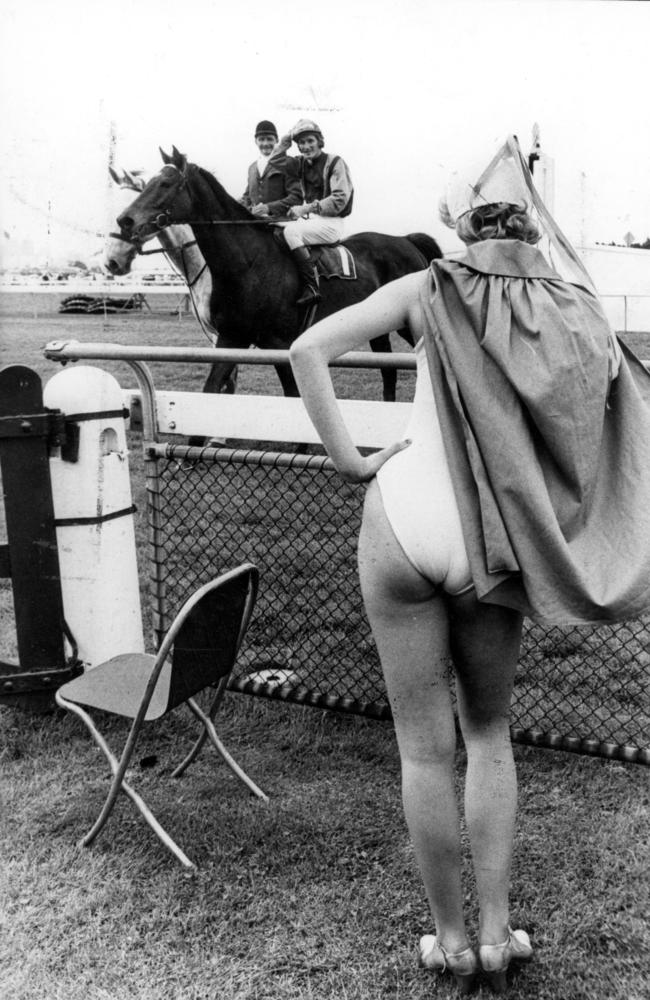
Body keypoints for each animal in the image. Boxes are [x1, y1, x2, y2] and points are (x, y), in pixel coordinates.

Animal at [111, 146, 442, 400]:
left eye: (165, 184)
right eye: (150, 183)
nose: (124, 221)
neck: (248, 263)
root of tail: (406, 240)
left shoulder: (279, 344)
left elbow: (294, 396)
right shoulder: (232, 338)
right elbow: (213, 389)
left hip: (408, 324)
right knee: (389, 370)